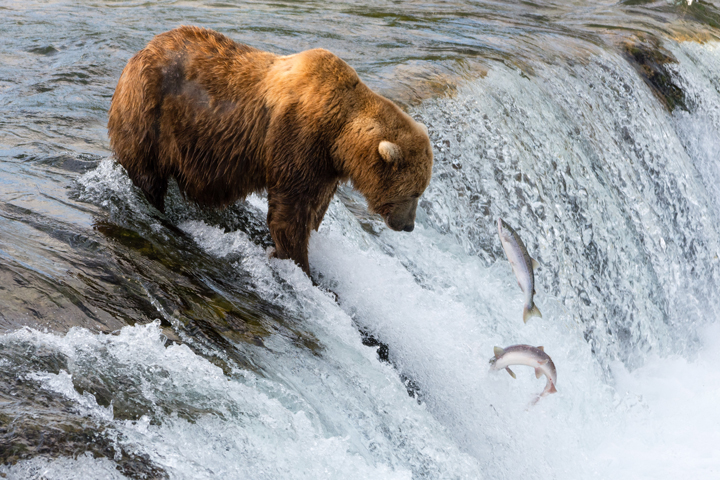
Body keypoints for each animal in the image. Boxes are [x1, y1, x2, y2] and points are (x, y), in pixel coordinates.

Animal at [107, 26, 434, 274]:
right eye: (414, 192)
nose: (408, 225)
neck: (339, 135)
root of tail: (141, 50)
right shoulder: (298, 139)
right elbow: (290, 213)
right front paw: (300, 264)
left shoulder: (324, 167)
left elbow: (314, 208)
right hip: (151, 111)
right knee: (146, 172)